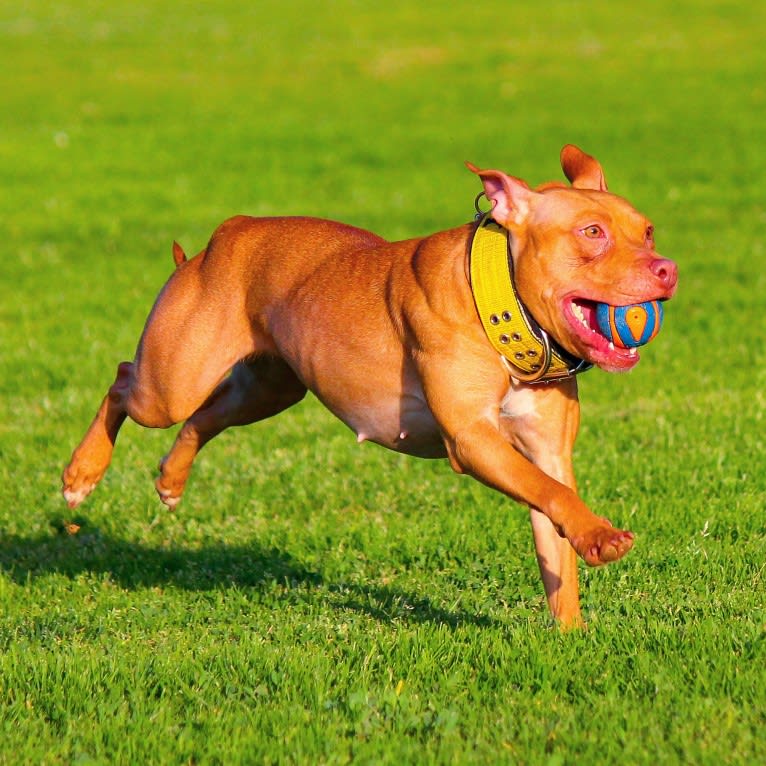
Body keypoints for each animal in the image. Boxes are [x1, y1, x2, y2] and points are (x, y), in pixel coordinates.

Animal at [63, 146, 680, 632]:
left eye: (648, 230)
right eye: (592, 233)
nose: (667, 269)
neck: (503, 308)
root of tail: (220, 238)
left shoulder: (547, 451)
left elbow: (555, 537)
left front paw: (571, 628)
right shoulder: (474, 440)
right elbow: (553, 495)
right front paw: (601, 537)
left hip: (268, 389)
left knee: (203, 418)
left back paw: (171, 479)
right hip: (169, 385)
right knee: (124, 380)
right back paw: (80, 475)